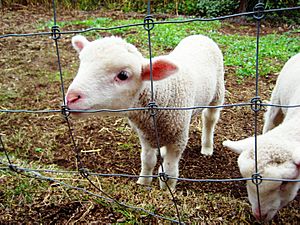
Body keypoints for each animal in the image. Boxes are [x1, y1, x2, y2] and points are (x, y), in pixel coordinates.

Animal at [66, 34, 225, 190]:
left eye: (123, 75)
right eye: (81, 63)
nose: (71, 98)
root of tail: (200, 36)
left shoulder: (178, 139)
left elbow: (170, 171)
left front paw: (167, 190)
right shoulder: (145, 136)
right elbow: (148, 161)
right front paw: (143, 183)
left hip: (218, 93)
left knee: (210, 118)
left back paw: (207, 148)